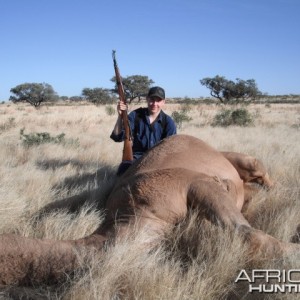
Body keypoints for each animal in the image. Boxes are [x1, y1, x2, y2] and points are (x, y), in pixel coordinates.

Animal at [0, 134, 296, 286]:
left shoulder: (193, 183)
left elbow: (247, 232)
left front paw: (294, 252)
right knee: (252, 190)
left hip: (244, 161)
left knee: (259, 172)